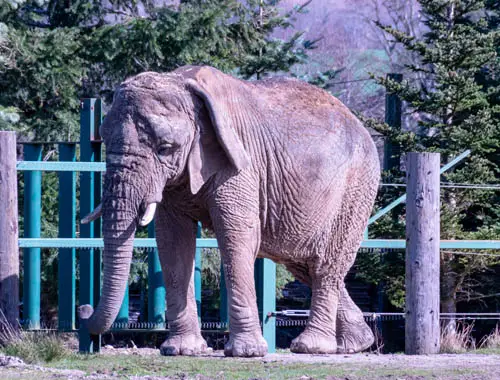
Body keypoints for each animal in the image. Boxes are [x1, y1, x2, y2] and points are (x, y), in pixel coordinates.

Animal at [79, 65, 378, 356]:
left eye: (165, 148)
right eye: (104, 139)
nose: (83, 309)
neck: (179, 81)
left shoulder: (241, 164)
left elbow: (236, 235)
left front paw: (247, 352)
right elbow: (173, 241)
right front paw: (181, 350)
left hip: (354, 190)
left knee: (325, 265)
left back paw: (312, 347)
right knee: (304, 264)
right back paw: (355, 344)